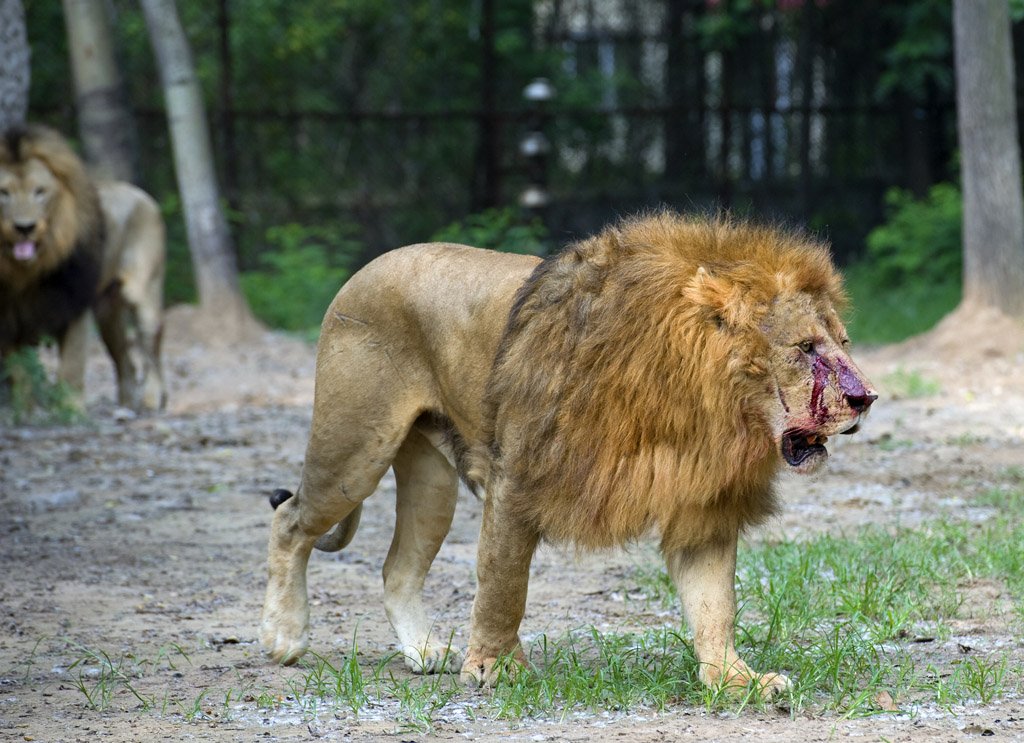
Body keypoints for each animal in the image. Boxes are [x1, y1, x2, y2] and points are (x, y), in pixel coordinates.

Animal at [0, 124, 166, 409]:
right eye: (4, 193)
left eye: (39, 191)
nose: (25, 227)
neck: (27, 273)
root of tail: (142, 195)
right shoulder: (9, 317)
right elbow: (19, 372)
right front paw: (25, 410)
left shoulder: (74, 305)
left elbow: (71, 369)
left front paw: (72, 411)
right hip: (107, 310)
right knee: (124, 358)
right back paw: (126, 403)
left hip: (144, 293)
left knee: (150, 348)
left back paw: (152, 398)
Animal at [260, 212, 876, 700]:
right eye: (804, 348)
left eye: (844, 344)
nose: (866, 397)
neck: (698, 406)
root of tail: (366, 268)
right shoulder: (517, 477)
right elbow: (503, 583)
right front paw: (494, 668)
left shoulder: (701, 505)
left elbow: (714, 604)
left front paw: (733, 679)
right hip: (354, 448)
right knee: (290, 519)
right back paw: (284, 639)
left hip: (430, 481)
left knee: (398, 568)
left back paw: (424, 651)